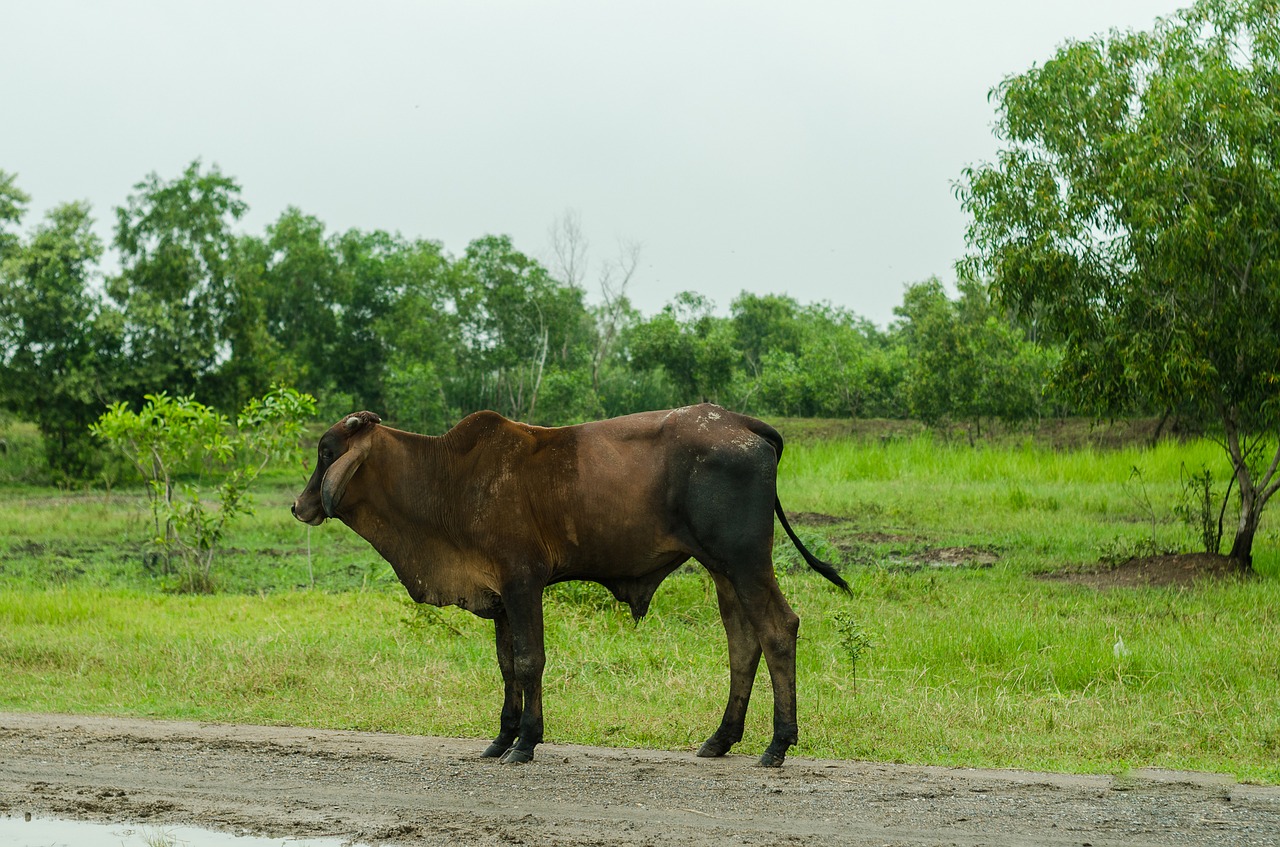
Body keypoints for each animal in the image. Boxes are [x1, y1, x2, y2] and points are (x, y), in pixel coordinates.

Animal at [293, 404, 849, 767]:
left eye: (326, 451)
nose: (300, 506)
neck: (447, 479)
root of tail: (743, 423)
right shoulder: (499, 597)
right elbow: (506, 666)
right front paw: (500, 738)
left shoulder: (523, 582)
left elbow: (528, 661)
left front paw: (525, 743)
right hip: (721, 569)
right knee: (743, 642)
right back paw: (721, 739)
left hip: (745, 559)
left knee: (778, 629)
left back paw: (777, 745)